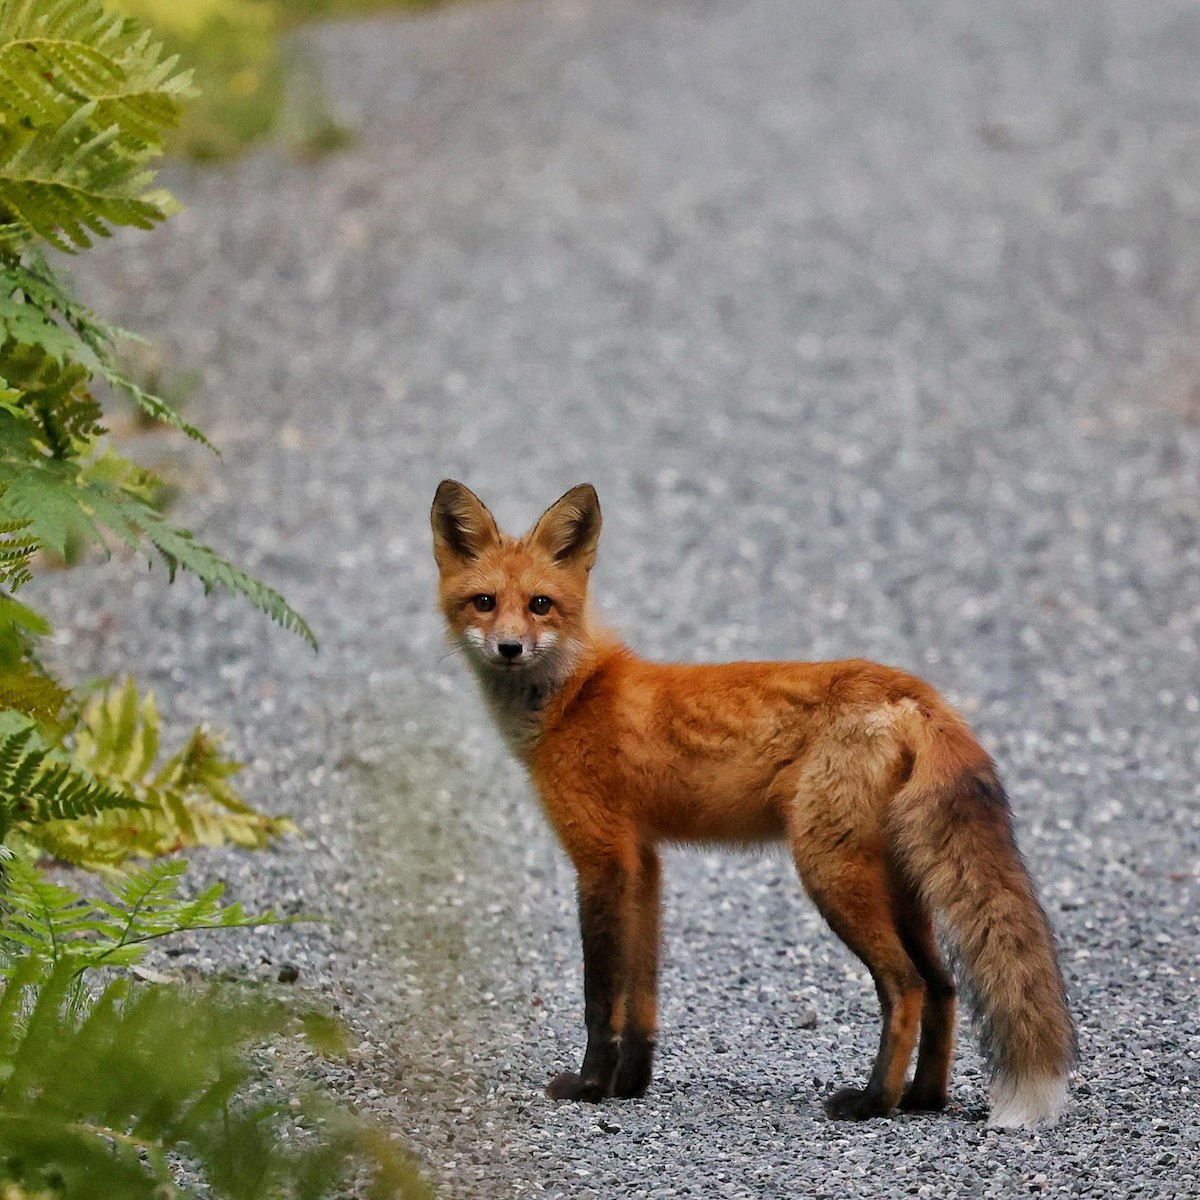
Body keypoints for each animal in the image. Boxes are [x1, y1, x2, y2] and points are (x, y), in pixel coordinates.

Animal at [430, 479, 1076, 1127]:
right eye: (484, 602)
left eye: (540, 604)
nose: (510, 647)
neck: (574, 697)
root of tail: (910, 691)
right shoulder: (645, 861)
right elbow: (642, 993)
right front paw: (631, 1084)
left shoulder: (601, 859)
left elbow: (600, 994)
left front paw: (590, 1086)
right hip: (898, 882)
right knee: (944, 986)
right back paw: (923, 1099)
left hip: (830, 871)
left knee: (907, 986)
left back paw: (873, 1101)